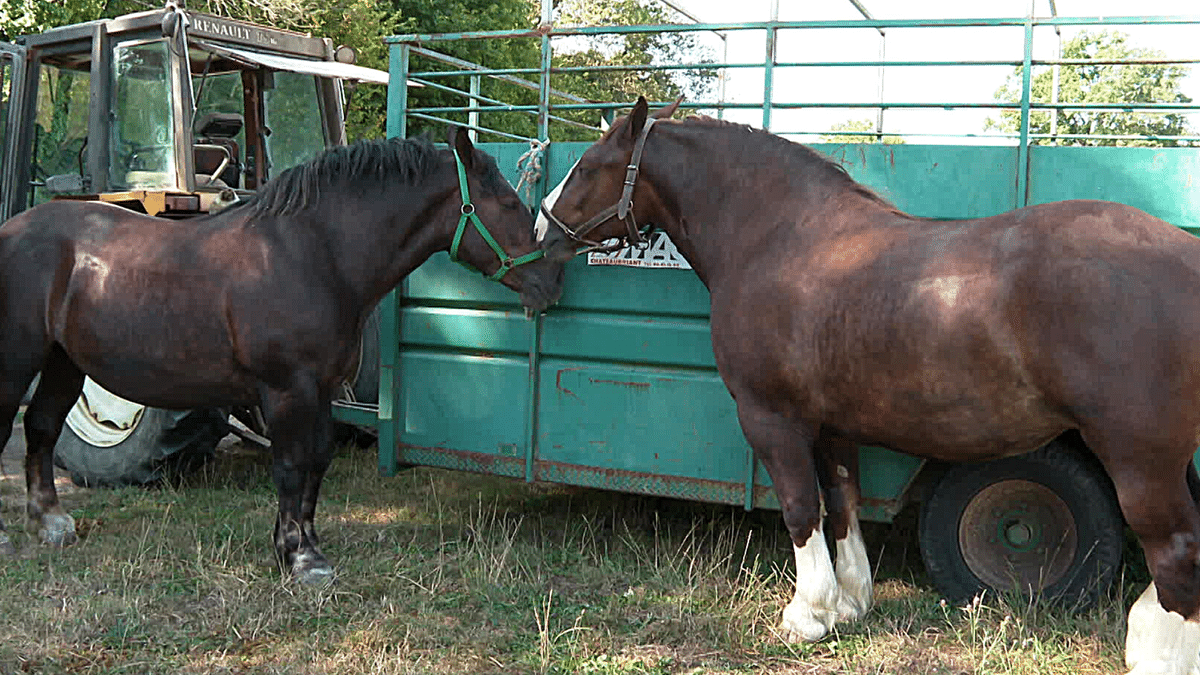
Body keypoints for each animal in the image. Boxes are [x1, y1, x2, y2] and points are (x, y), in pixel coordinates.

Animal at [0, 127, 564, 583]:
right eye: (508, 203)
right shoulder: (287, 388)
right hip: (20, 360)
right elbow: (291, 464)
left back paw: (49, 522)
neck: (313, 252)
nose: (553, 280)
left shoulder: (322, 389)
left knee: (42, 428)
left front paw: (302, 545)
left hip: (63, 361)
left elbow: (316, 461)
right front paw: (298, 558)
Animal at [540, 97, 1200, 667]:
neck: (782, 238)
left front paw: (807, 616)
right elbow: (843, 503)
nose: (542, 228)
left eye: (588, 166)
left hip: (1139, 458)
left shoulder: (770, 417)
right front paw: (850, 604)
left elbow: (801, 507)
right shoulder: (833, 423)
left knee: (1175, 549)